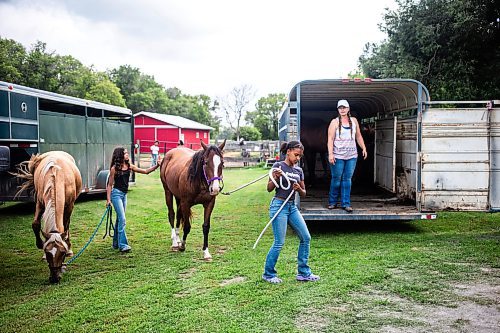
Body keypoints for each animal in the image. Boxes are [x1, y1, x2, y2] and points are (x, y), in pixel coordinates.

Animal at [16, 150, 82, 282]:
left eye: (62, 253)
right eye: (47, 253)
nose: (54, 278)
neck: (56, 176)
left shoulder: (69, 206)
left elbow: (66, 226)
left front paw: (69, 248)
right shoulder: (40, 202)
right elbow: (36, 224)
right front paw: (40, 245)